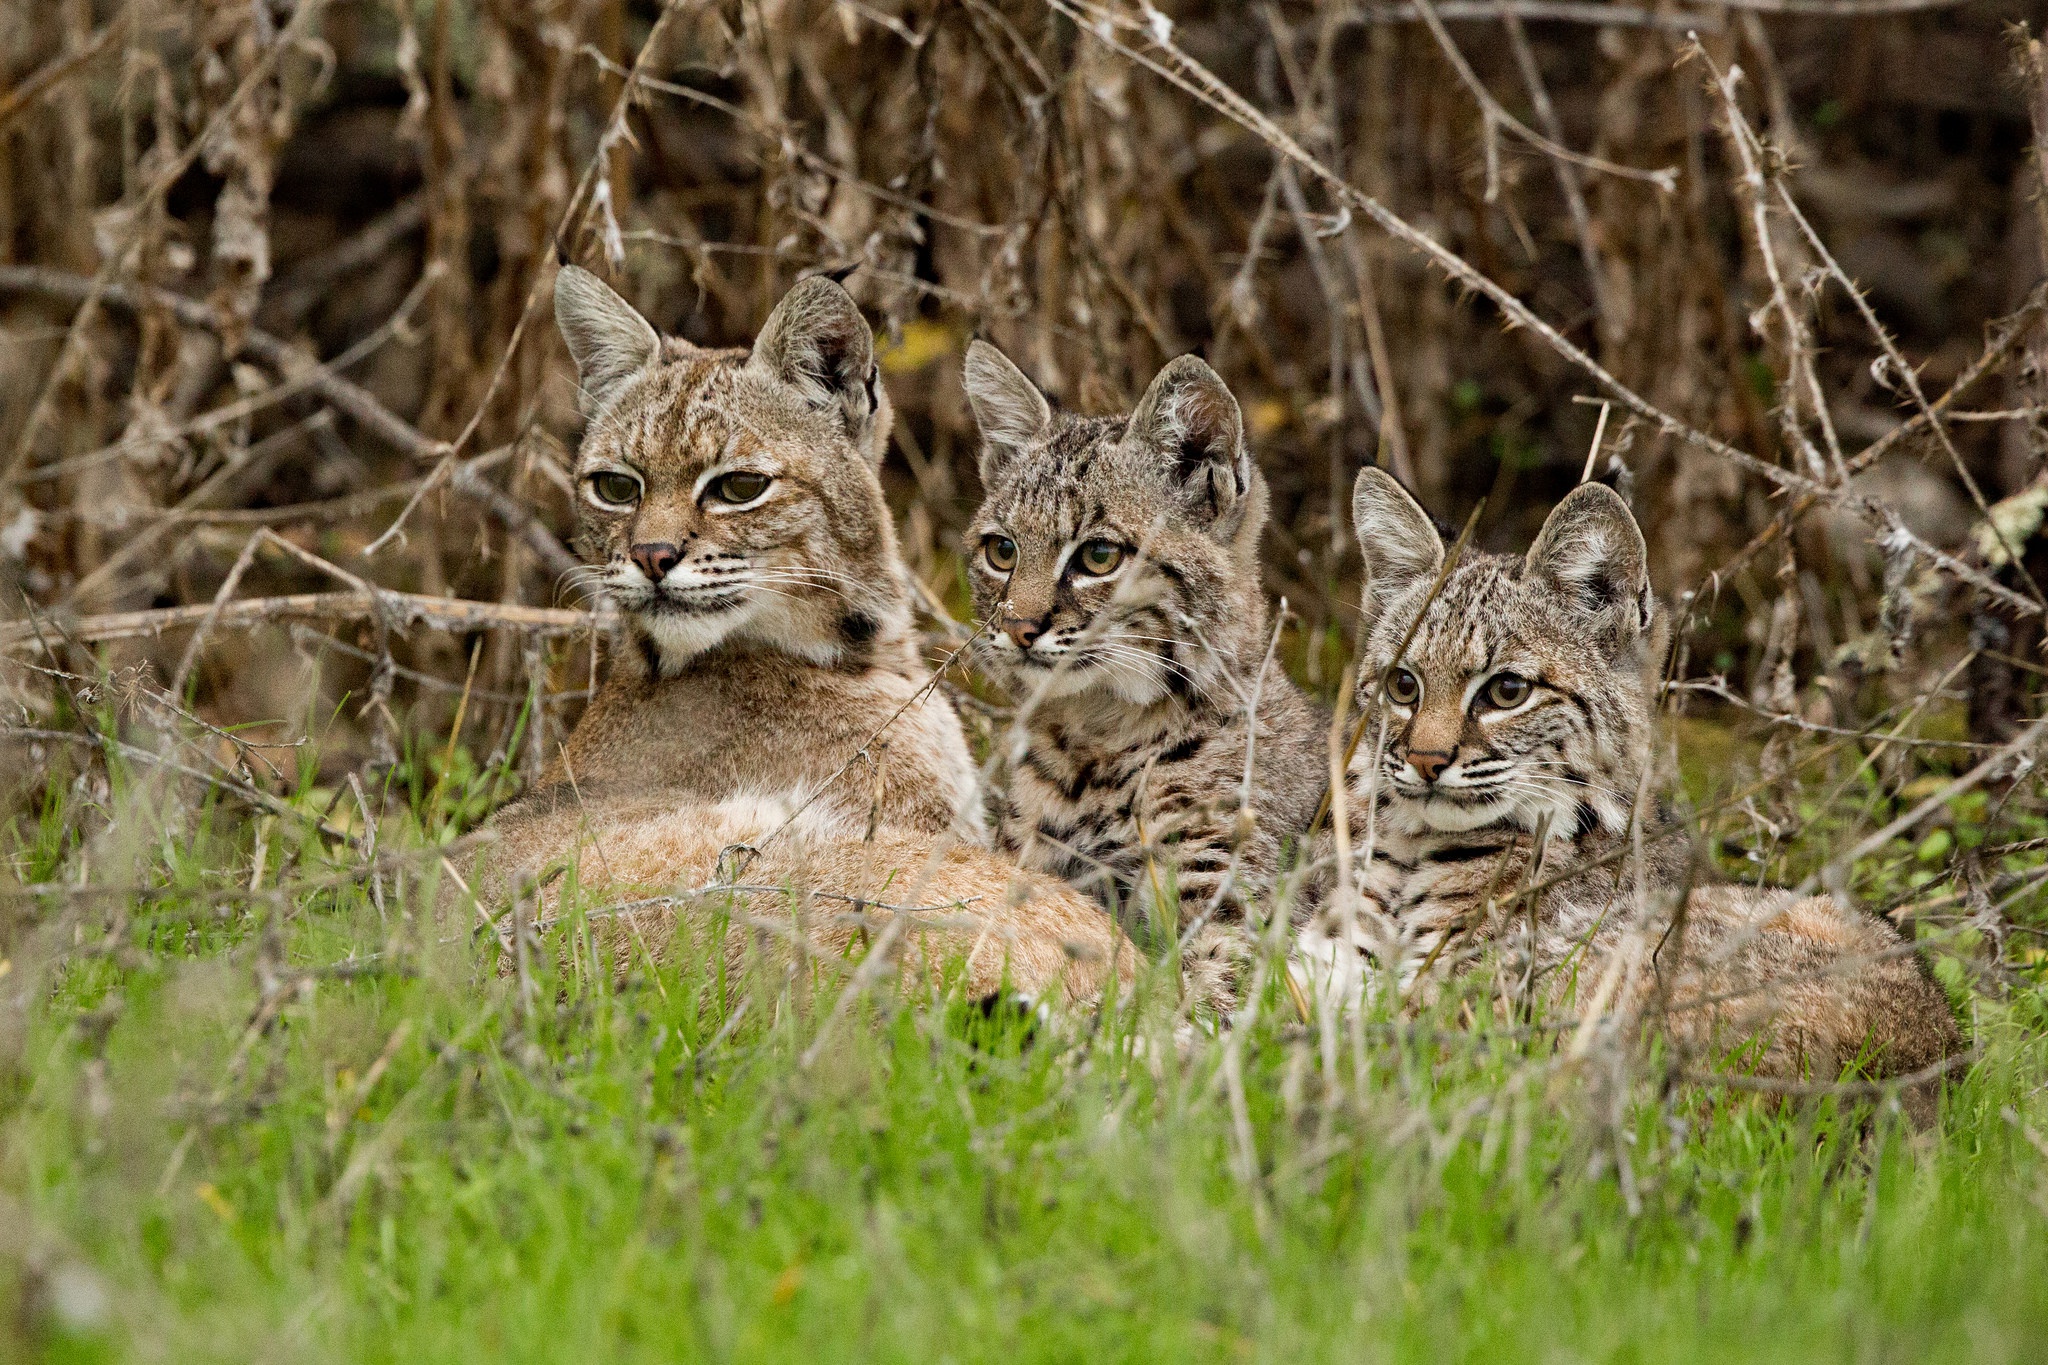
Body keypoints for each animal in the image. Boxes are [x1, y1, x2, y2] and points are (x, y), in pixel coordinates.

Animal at [962, 337, 1327, 986]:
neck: (1095, 739)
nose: (1017, 630)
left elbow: (1196, 1001)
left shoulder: (1233, 909)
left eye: (1099, 556)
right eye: (1001, 551)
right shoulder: (1033, 869)